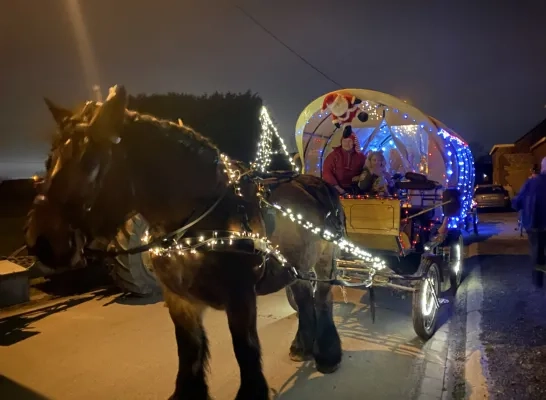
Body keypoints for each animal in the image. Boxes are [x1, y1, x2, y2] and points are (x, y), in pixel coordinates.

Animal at [25, 86, 342, 400]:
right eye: (49, 161)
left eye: (90, 162)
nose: (40, 243)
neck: (200, 223)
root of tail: (314, 181)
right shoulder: (178, 299)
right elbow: (189, 351)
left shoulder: (240, 297)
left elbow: (245, 350)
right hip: (298, 261)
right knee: (303, 295)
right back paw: (303, 345)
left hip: (326, 258)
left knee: (323, 298)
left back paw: (328, 354)